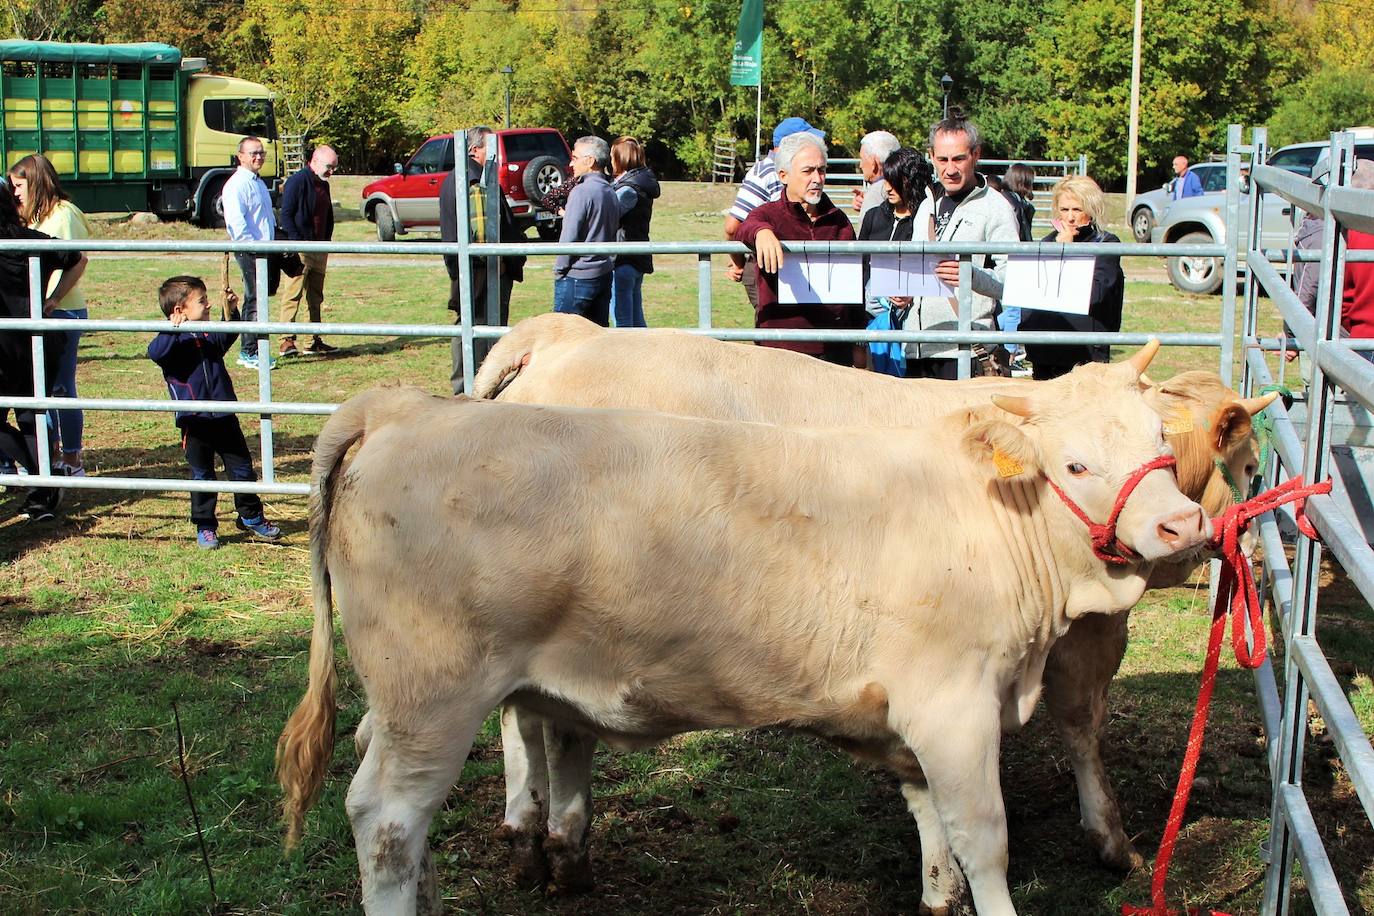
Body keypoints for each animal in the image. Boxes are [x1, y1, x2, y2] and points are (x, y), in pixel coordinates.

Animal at [278, 347, 1214, 911]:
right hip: (434, 692)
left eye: (1160, 440)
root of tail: (404, 409)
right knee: (386, 820)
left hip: (407, 700)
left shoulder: (909, 714)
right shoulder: (954, 706)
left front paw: (936, 893)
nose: (1182, 525)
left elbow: (928, 815)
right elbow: (984, 836)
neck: (987, 514)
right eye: (1076, 464)